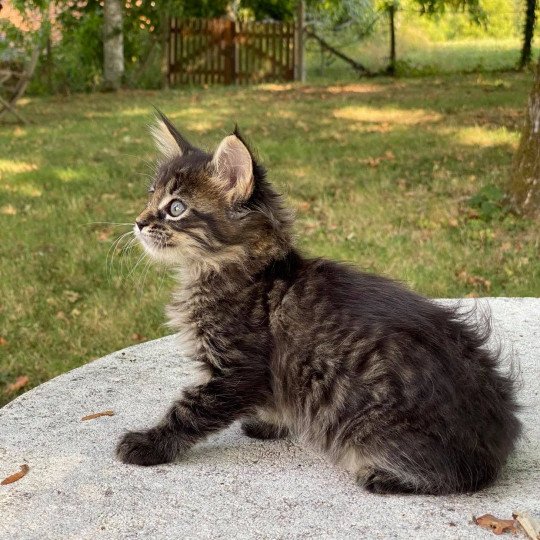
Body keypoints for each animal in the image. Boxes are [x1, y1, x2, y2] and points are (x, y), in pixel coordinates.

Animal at [116, 113, 520, 494]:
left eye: (175, 208)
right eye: (150, 196)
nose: (138, 222)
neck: (231, 270)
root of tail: (497, 440)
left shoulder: (236, 371)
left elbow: (189, 410)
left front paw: (148, 444)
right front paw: (270, 424)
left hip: (371, 427)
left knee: (459, 478)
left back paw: (382, 476)